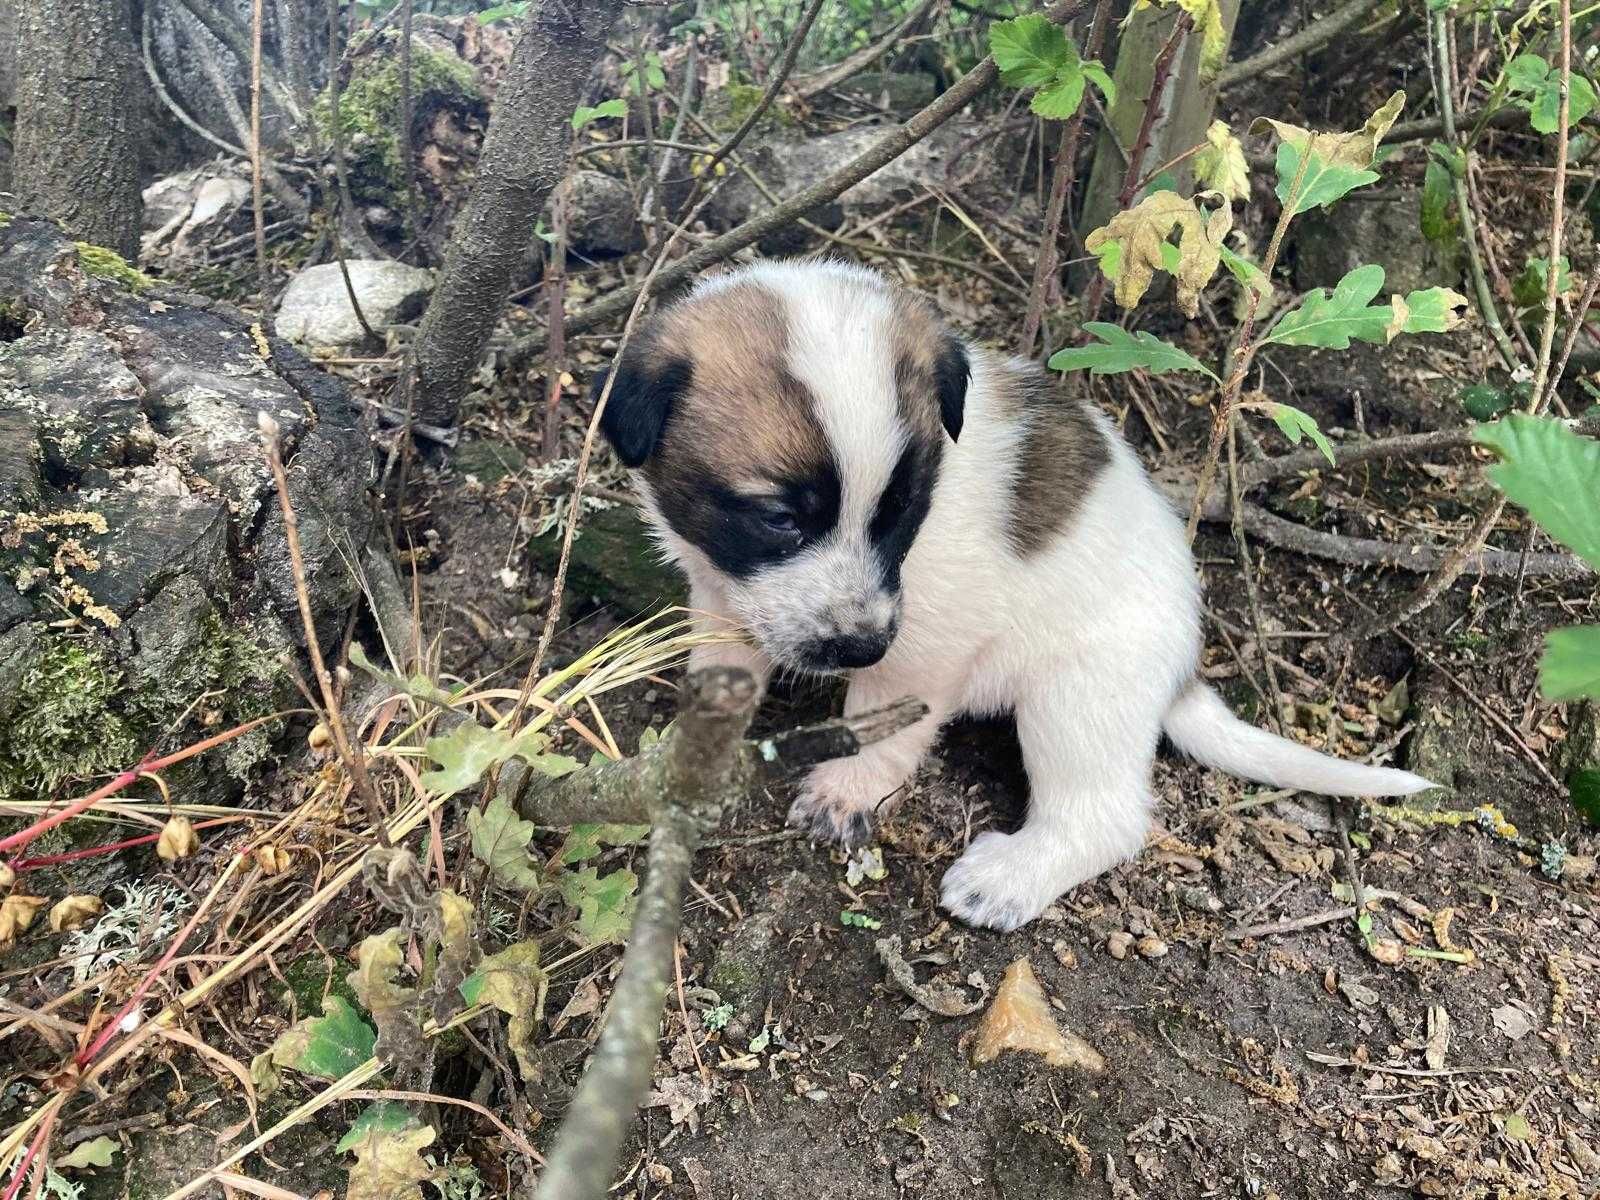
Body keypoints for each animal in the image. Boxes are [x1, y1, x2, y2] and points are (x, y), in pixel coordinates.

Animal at [592, 260, 1440, 928]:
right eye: (778, 519)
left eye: (902, 510)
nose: (860, 643)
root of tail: (1183, 668)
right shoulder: (723, 590)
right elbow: (727, 661)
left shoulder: (924, 640)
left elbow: (883, 716)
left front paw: (853, 785)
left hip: (1075, 699)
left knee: (1106, 817)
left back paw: (1012, 877)